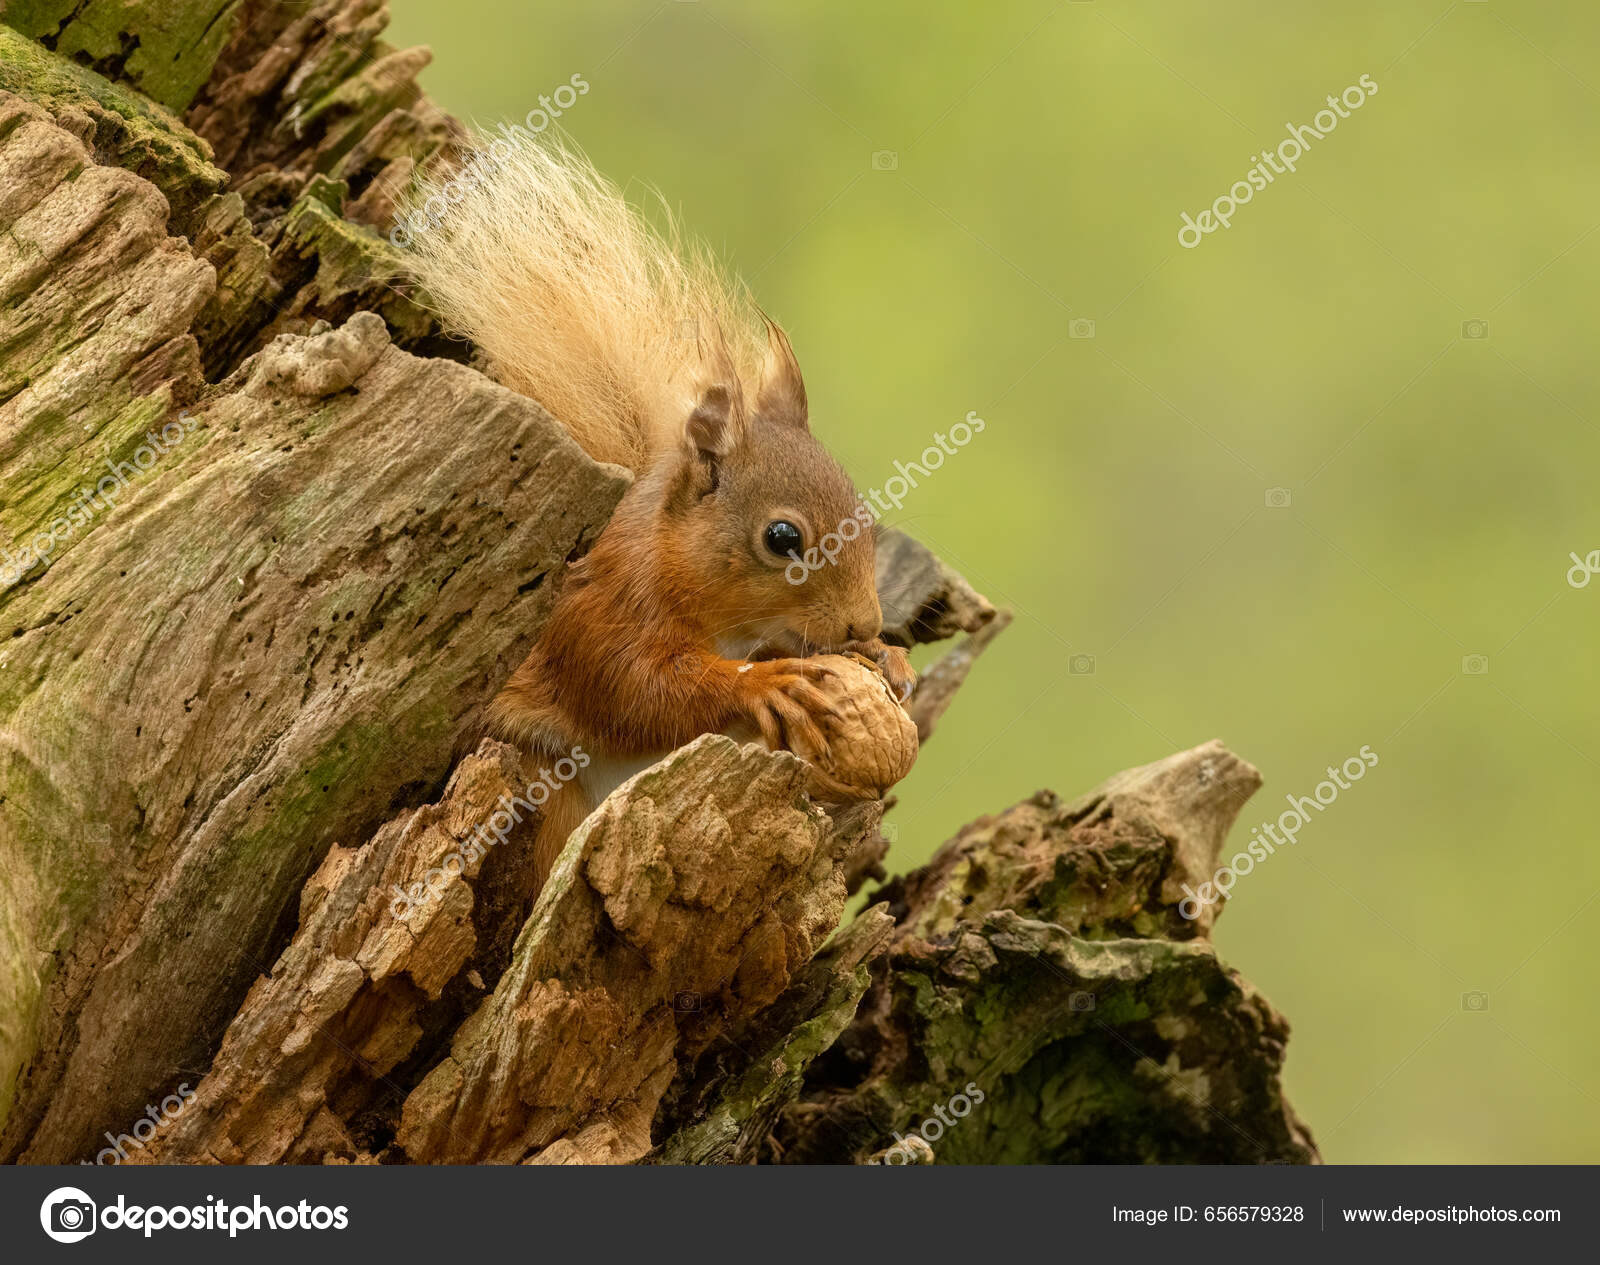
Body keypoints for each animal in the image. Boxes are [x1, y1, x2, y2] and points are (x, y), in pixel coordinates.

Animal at [402, 132, 914, 886]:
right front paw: (765, 681)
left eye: (864, 512)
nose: (863, 623)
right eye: (782, 537)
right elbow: (638, 691)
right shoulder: (600, 609)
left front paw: (887, 657)